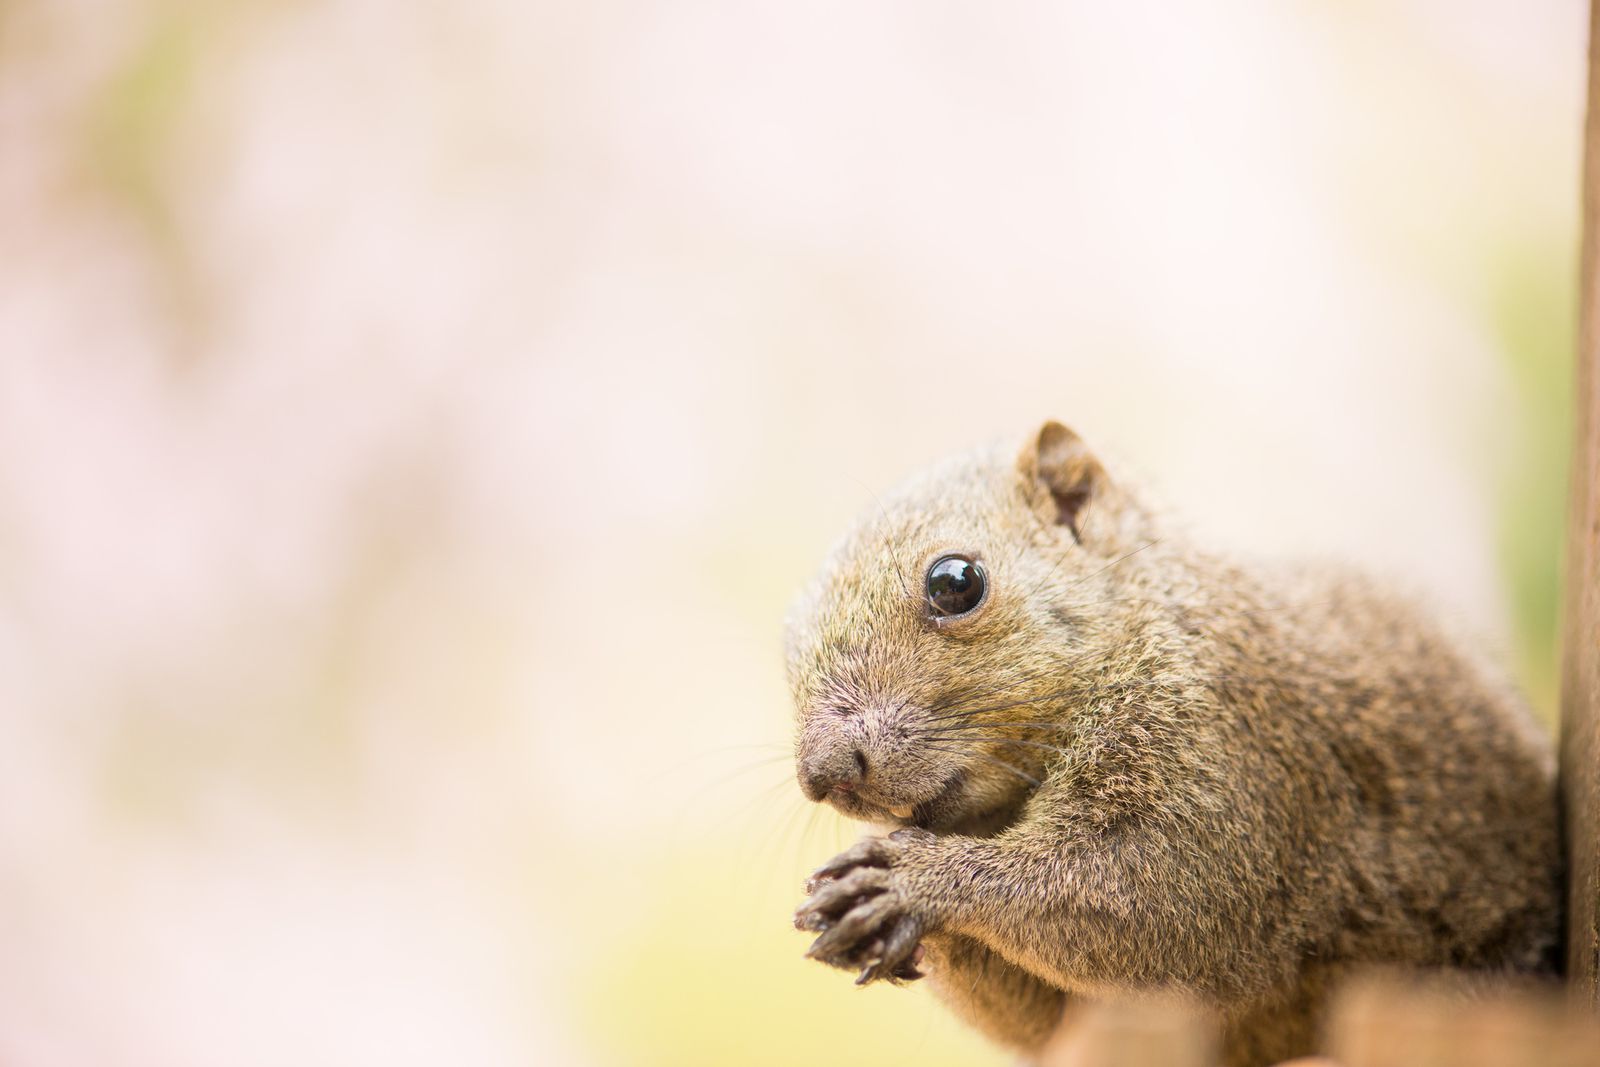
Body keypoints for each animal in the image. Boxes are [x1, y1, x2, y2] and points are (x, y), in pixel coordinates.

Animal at [787, 422, 1561, 1067]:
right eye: (787, 639)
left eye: (955, 582)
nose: (824, 772)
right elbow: (1046, 1016)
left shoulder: (1233, 750)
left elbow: (1164, 901)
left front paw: (911, 878)